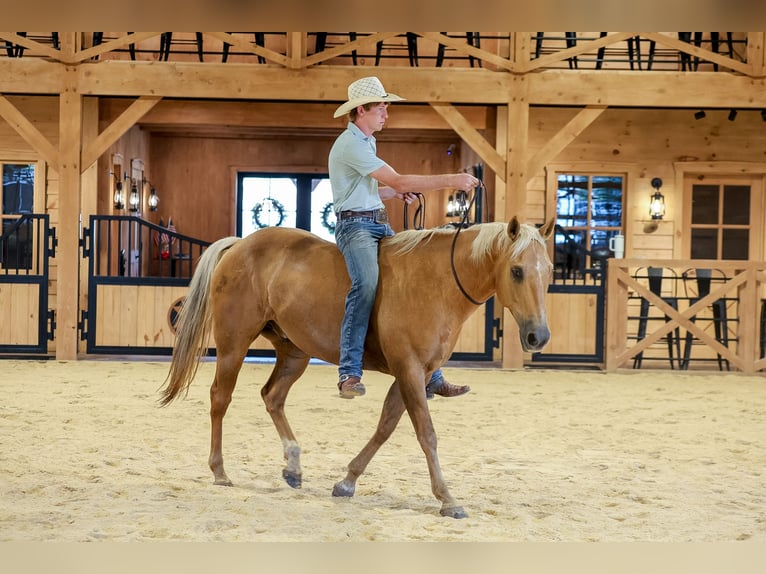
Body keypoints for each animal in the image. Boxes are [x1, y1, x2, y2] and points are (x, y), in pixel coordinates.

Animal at [160, 216, 555, 518]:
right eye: (517, 271)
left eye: (548, 270)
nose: (538, 336)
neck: (437, 282)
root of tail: (240, 244)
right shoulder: (410, 369)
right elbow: (426, 434)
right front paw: (448, 499)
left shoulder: (417, 373)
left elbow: (385, 426)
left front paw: (347, 481)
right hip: (234, 344)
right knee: (220, 398)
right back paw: (220, 471)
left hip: (294, 351)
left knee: (272, 397)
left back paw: (293, 466)